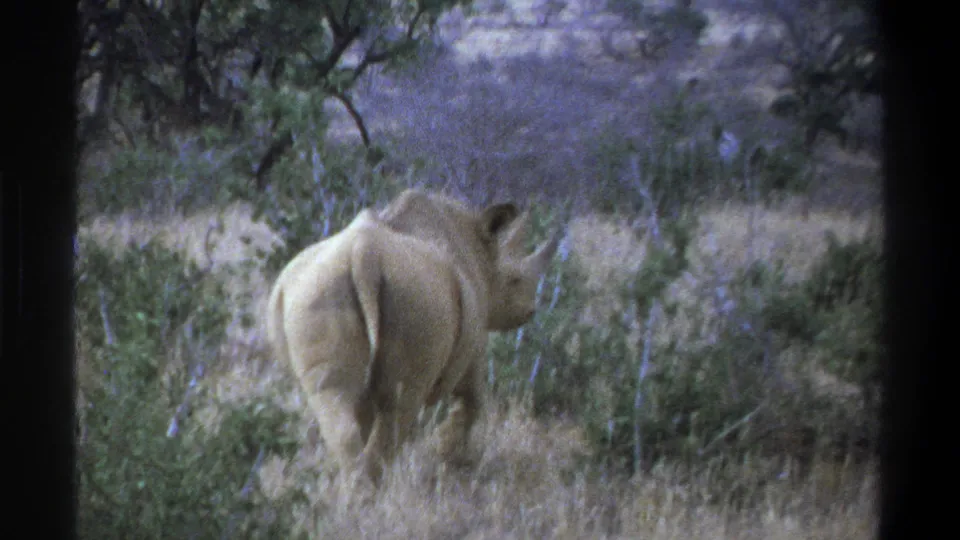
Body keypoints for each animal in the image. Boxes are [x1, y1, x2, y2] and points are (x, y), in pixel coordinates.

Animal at [265, 189, 561, 485]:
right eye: (515, 280)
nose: (530, 311)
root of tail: (363, 255)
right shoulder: (474, 342)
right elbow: (473, 399)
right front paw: (448, 454)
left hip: (316, 290)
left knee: (336, 403)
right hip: (415, 303)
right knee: (400, 405)